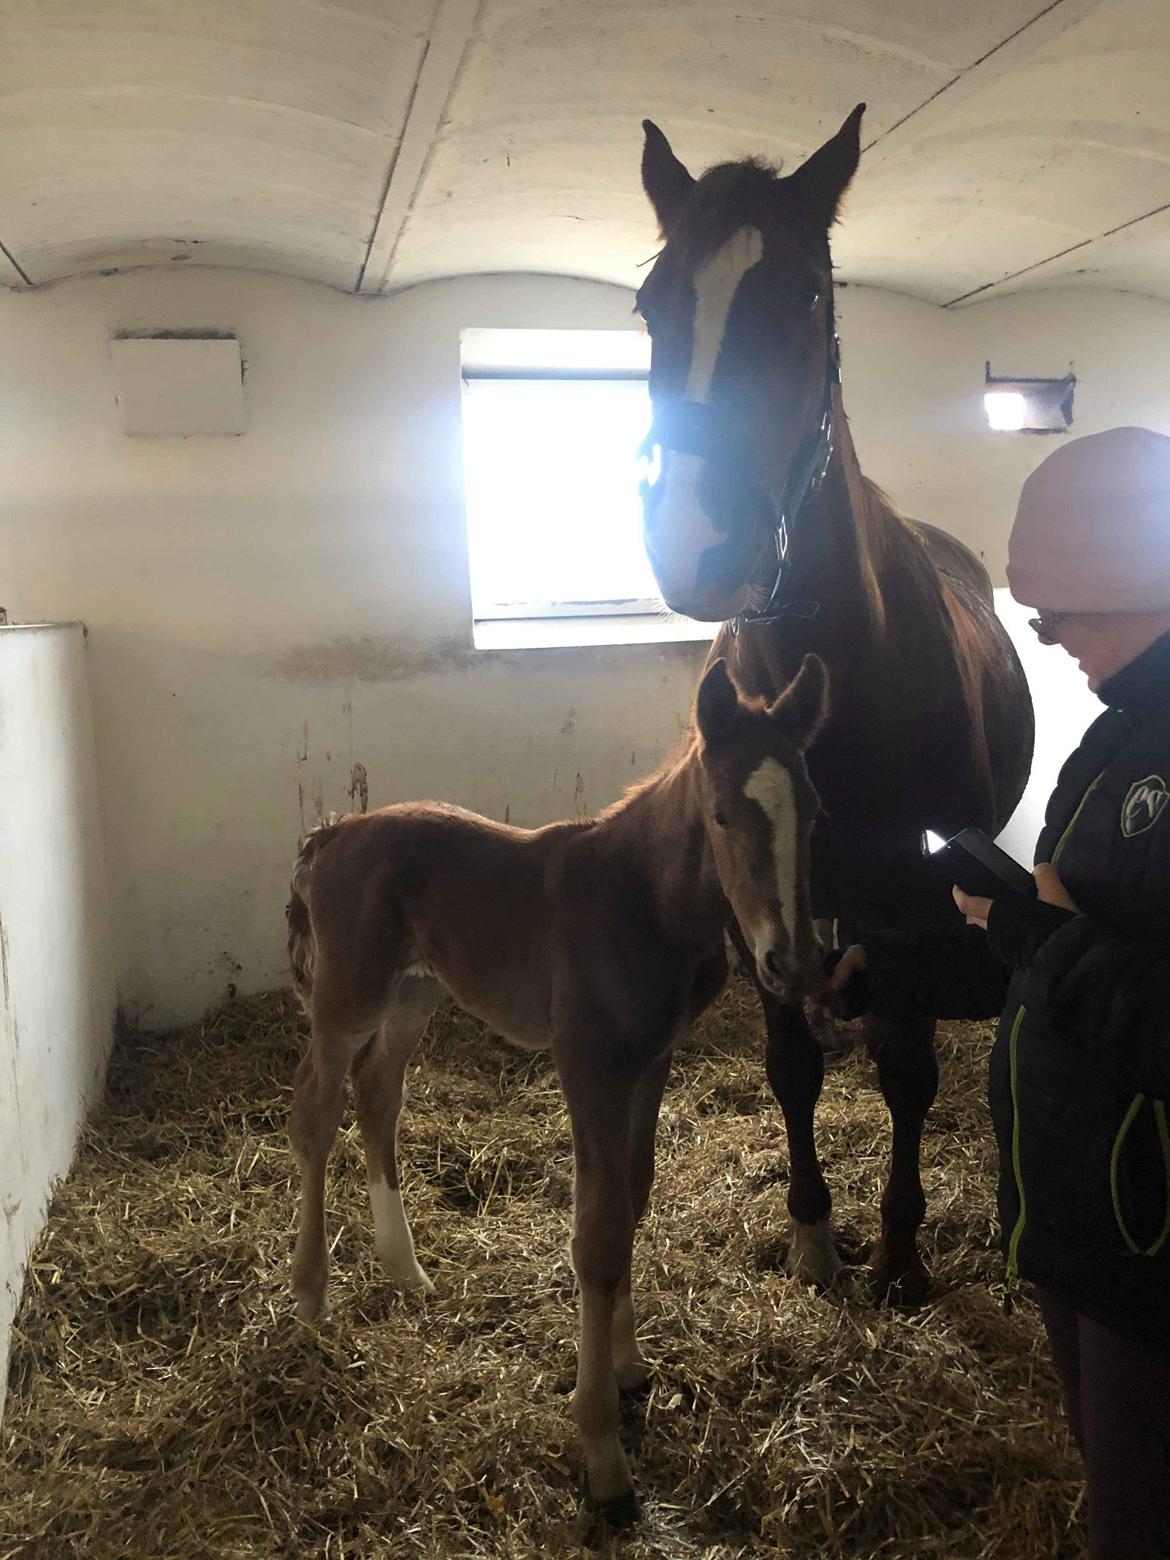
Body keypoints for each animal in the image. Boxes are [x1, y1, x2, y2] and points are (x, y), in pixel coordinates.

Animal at [287, 655, 829, 1510]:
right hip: (350, 998)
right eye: (719, 815)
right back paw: (311, 1296)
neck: (641, 902)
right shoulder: (589, 1067)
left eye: (814, 812)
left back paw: (406, 1269)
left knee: (378, 1095)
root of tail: (329, 834)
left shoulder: (649, 1063)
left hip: (416, 993)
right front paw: (602, 1446)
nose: (794, 961)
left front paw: (630, 1364)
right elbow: (597, 1233)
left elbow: (633, 1200)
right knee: (314, 1110)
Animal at [642, 103, 1035, 1304]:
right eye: (650, 305)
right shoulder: (754, 891)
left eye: (806, 296)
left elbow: (908, 1074)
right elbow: (791, 1063)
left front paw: (900, 1251)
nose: (700, 543)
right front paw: (815, 1230)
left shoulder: (906, 902)